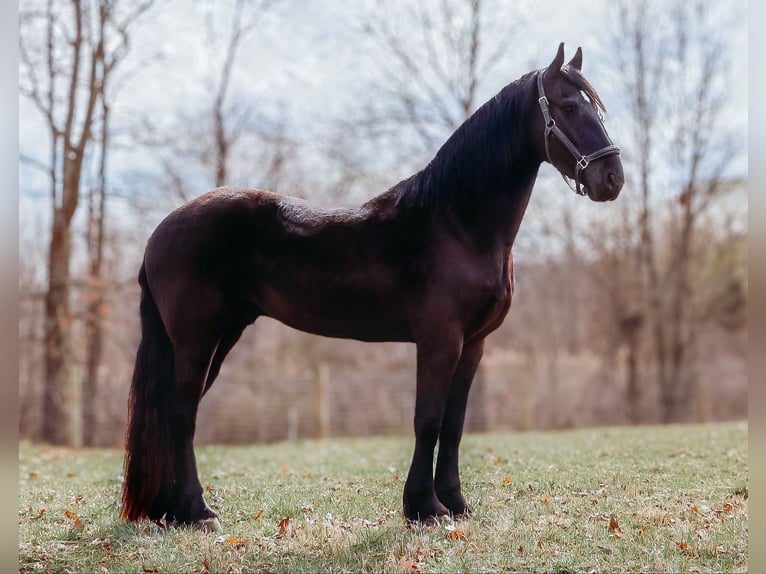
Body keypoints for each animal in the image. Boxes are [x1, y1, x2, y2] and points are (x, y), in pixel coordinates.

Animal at [121, 43, 624, 531]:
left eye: (597, 109)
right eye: (568, 106)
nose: (613, 179)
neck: (456, 222)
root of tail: (159, 232)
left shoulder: (473, 344)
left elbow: (455, 425)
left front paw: (456, 504)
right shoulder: (439, 339)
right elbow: (428, 419)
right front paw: (425, 509)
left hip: (221, 335)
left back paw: (171, 511)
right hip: (199, 338)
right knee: (181, 414)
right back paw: (197, 512)